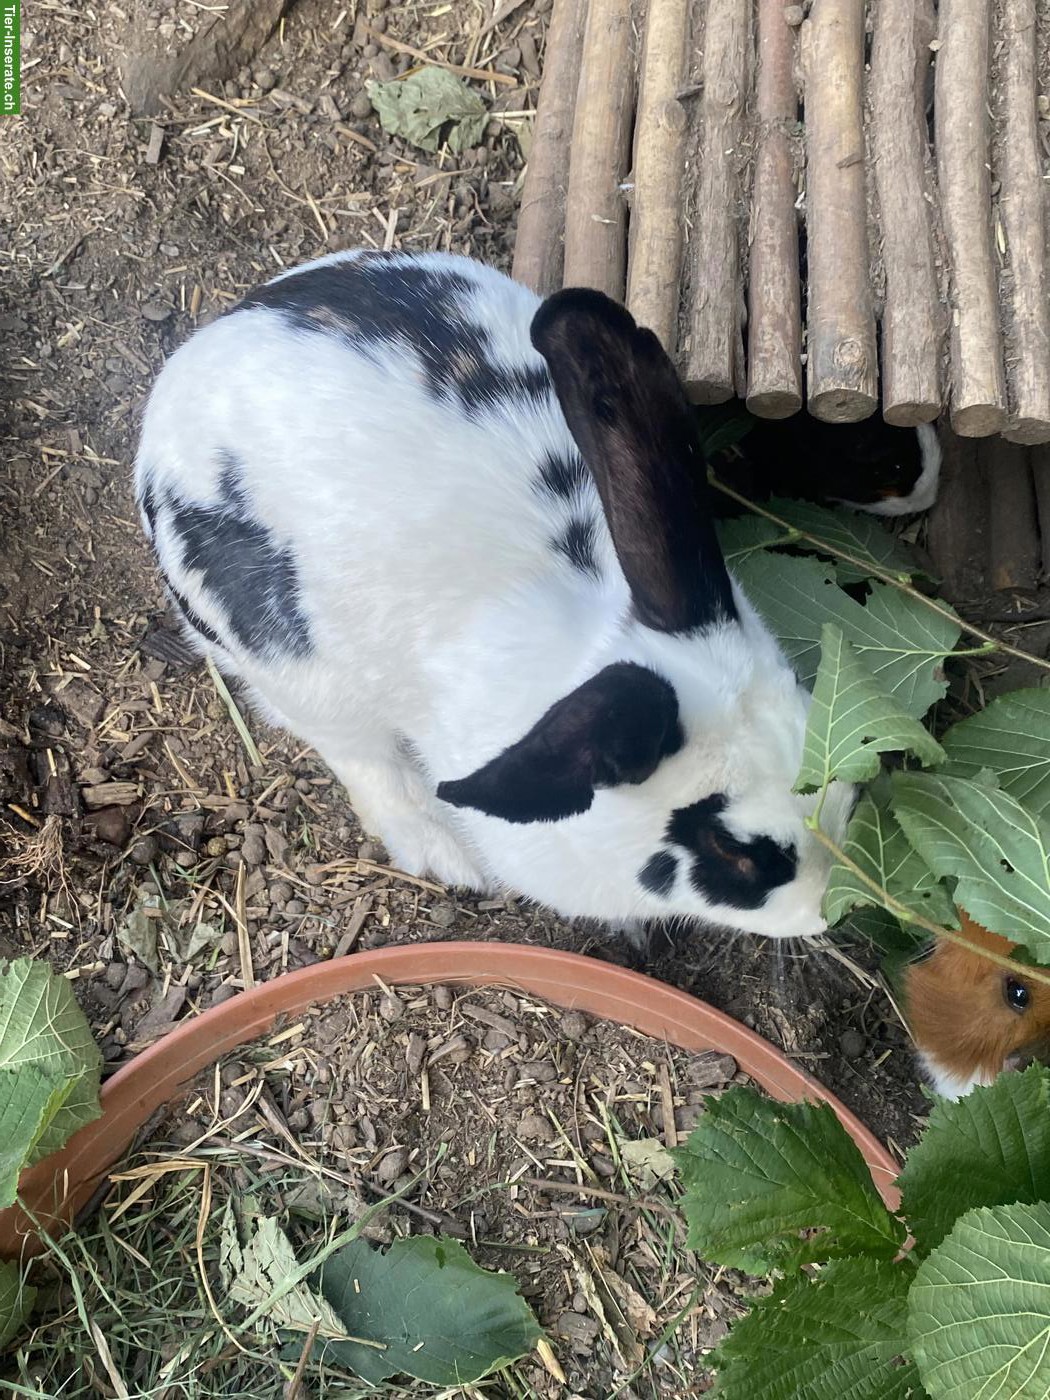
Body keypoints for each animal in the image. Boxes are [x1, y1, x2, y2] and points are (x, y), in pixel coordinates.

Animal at [134, 249, 856, 941]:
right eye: (731, 851)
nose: (832, 910)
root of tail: (193, 362)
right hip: (301, 674)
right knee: (358, 756)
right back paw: (441, 849)